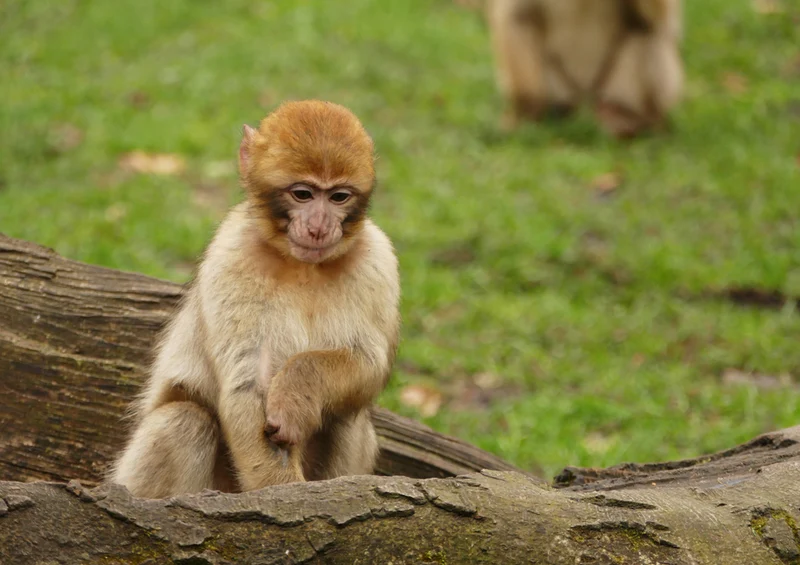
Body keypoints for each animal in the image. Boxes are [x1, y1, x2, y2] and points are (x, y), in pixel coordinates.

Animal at [111, 100, 400, 498]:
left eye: (338, 196)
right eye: (303, 194)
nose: (318, 227)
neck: (303, 266)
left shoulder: (377, 259)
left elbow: (367, 362)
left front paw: (297, 391)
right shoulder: (232, 255)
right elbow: (248, 382)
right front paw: (286, 495)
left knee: (348, 418)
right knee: (184, 420)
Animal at [486, 0, 684, 137]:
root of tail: (585, 103)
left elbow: (659, 19)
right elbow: (518, 15)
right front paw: (525, 113)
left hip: (620, 88)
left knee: (647, 31)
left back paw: (638, 120)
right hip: (560, 86)